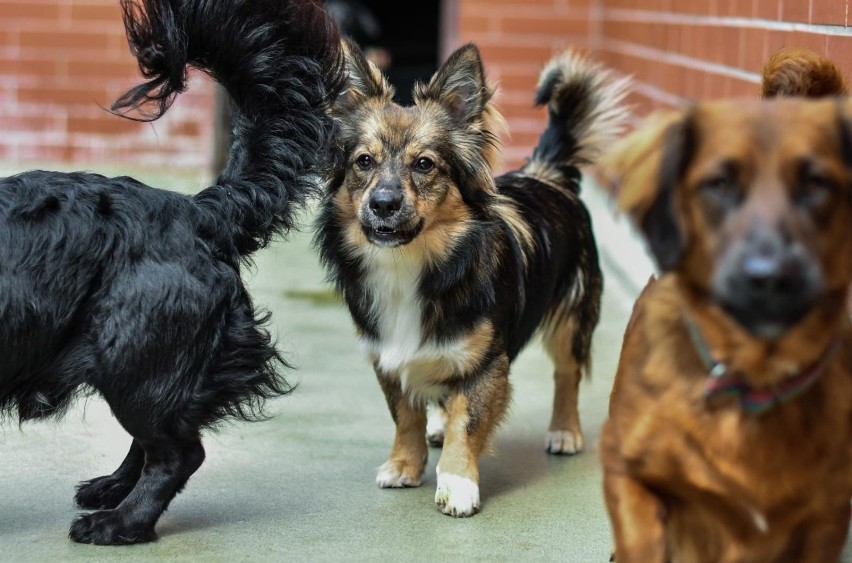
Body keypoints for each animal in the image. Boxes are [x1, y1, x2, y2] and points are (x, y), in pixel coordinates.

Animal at [2, 0, 342, 548]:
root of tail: (197, 210)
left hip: (133, 347)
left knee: (178, 452)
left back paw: (120, 522)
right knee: (156, 440)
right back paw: (112, 490)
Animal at [316, 43, 628, 520]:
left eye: (425, 164)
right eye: (363, 162)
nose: (383, 204)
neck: (411, 265)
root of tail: (546, 174)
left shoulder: (486, 364)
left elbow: (469, 422)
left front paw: (458, 483)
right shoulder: (386, 357)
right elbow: (405, 416)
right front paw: (404, 464)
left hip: (572, 318)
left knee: (567, 374)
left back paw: (564, 431)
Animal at [600, 97, 852, 560]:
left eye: (816, 183)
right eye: (719, 183)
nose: (770, 277)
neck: (754, 378)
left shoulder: (827, 519)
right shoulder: (625, 467)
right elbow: (641, 537)